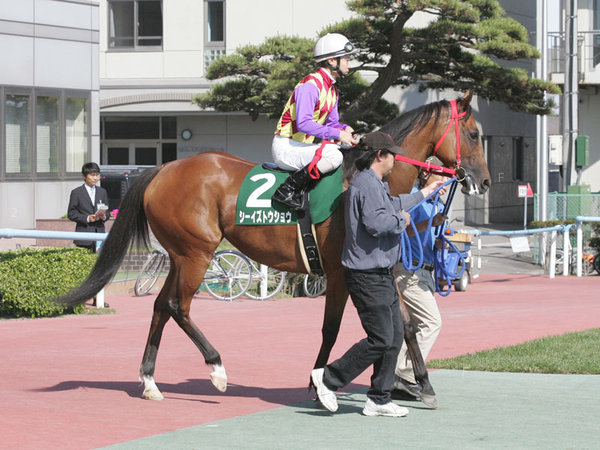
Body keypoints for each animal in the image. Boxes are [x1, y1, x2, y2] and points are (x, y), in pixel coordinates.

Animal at [54, 91, 490, 408]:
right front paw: (318, 384)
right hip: (197, 252)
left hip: (181, 255)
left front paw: (423, 385)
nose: (483, 182)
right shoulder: (341, 272)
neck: (362, 177)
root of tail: (162, 168)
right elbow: (332, 328)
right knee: (179, 306)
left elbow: (408, 325)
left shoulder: (379, 271)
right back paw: (217, 368)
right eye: (473, 135)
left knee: (162, 306)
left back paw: (149, 381)